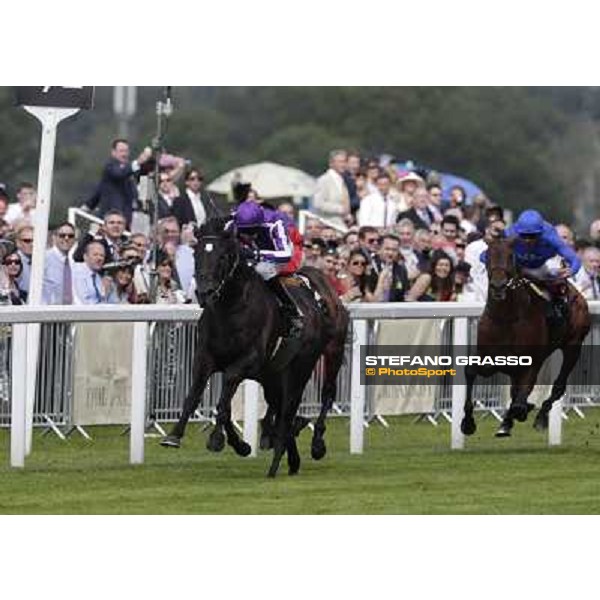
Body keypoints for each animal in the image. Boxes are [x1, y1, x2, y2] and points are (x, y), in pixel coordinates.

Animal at [161, 217, 346, 478]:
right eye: (196, 254)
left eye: (222, 257)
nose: (204, 292)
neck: (230, 310)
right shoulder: (205, 357)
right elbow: (198, 396)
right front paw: (176, 435)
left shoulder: (247, 361)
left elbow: (223, 400)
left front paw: (217, 439)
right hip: (275, 373)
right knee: (282, 406)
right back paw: (287, 449)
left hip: (323, 355)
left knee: (322, 394)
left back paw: (315, 443)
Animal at [462, 237, 588, 438]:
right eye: (487, 256)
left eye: (511, 257)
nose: (498, 286)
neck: (506, 318)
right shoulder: (490, 359)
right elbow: (470, 371)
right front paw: (467, 423)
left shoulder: (530, 363)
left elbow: (520, 403)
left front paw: (525, 409)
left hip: (573, 346)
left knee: (558, 386)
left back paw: (540, 417)